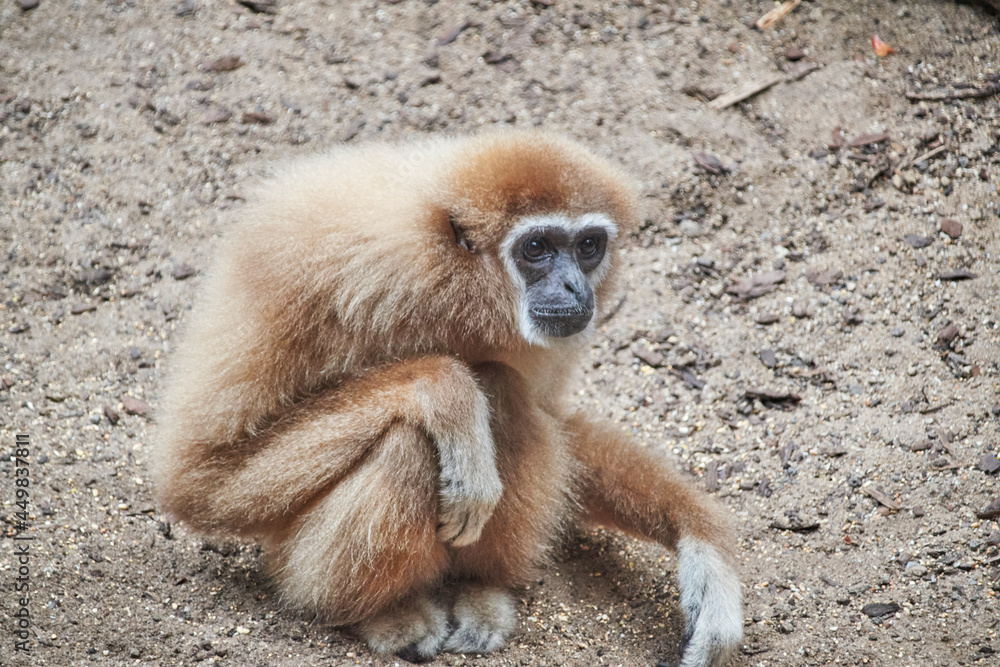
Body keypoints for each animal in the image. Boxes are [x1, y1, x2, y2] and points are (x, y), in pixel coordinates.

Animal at [151, 130, 743, 667]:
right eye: (536, 248)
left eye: (589, 246)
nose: (576, 287)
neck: (451, 279)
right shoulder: (310, 268)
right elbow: (202, 478)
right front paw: (445, 389)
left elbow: (555, 418)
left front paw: (703, 545)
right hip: (295, 563)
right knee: (416, 441)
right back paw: (382, 612)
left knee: (505, 391)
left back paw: (482, 588)